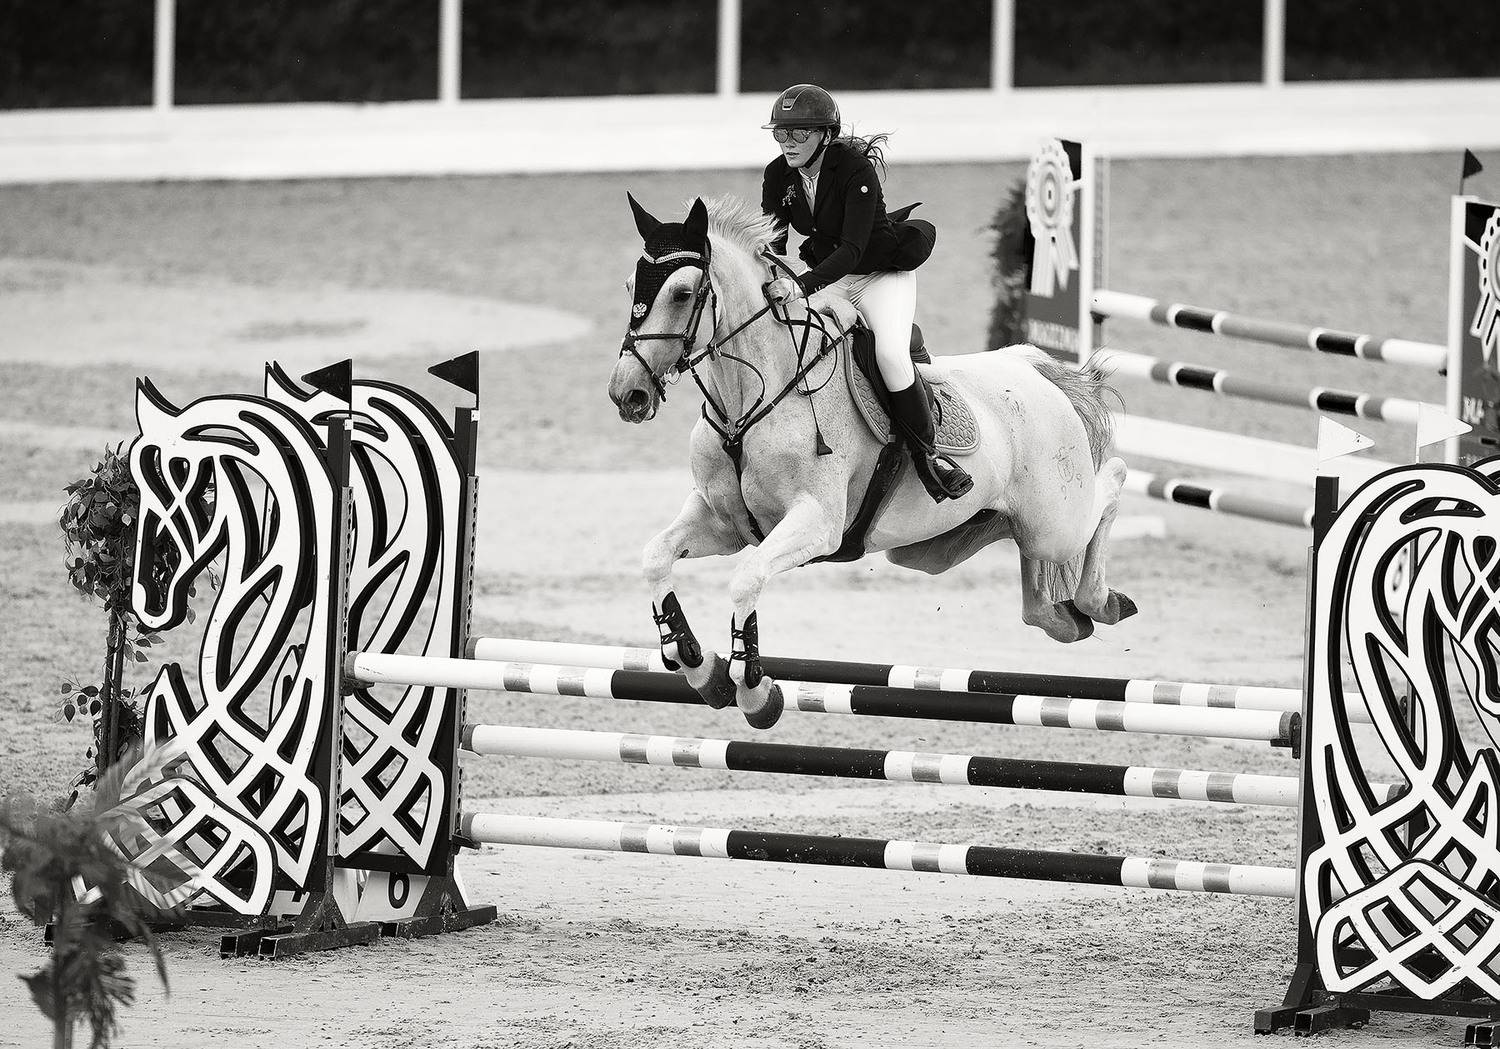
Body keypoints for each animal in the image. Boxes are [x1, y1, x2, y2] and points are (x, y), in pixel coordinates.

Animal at [607, 194, 1134, 729]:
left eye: (682, 293)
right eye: (630, 286)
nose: (628, 394)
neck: (747, 407)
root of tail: (1032, 366)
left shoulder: (816, 525)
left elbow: (746, 579)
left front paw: (753, 690)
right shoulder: (723, 522)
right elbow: (656, 558)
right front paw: (697, 665)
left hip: (1055, 521)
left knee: (1110, 483)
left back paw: (1100, 599)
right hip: (940, 546)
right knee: (1028, 580)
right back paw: (1068, 615)